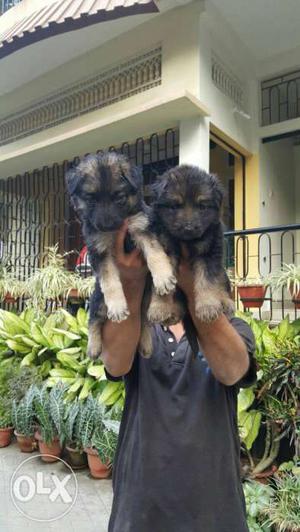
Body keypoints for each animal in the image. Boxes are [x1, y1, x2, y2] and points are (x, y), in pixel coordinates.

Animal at [65, 152, 176, 360]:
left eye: (119, 197)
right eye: (91, 199)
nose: (107, 226)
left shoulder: (141, 227)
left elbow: (155, 253)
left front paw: (164, 277)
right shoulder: (99, 251)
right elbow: (110, 281)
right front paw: (117, 307)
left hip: (146, 300)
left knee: (144, 320)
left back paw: (146, 344)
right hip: (98, 299)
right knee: (94, 319)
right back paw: (93, 347)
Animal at [149, 162, 236, 336]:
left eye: (202, 206)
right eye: (175, 206)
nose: (188, 228)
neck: (186, 241)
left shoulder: (209, 253)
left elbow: (207, 281)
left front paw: (208, 307)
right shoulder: (165, 250)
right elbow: (162, 285)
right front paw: (159, 308)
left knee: (222, 284)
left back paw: (225, 303)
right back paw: (173, 312)